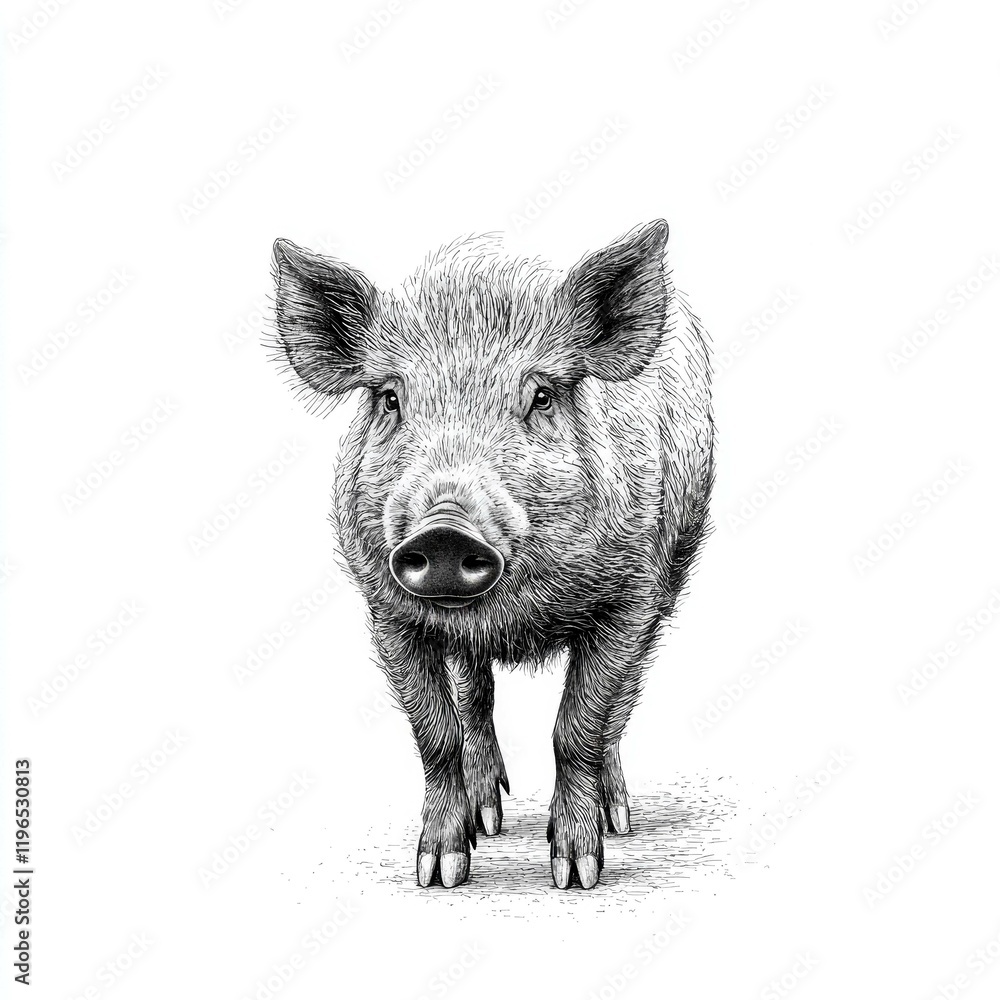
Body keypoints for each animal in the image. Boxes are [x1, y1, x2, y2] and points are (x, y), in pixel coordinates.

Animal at [270, 221, 713, 890]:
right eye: (390, 398)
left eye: (542, 396)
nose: (445, 533)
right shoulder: (386, 609)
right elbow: (434, 731)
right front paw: (439, 873)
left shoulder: (631, 595)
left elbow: (579, 724)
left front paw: (575, 874)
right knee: (475, 693)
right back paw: (489, 818)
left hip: (675, 563)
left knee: (619, 707)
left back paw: (617, 819)